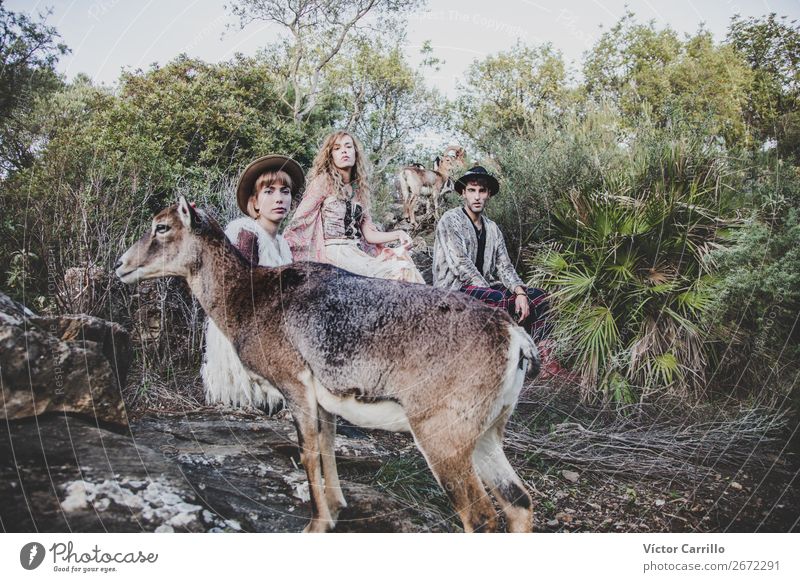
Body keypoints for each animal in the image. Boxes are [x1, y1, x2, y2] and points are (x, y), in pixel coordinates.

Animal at [115, 197, 540, 532]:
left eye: (162, 226)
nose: (121, 265)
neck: (251, 299)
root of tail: (514, 339)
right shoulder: (326, 403)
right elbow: (327, 447)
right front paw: (335, 510)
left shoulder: (295, 386)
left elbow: (307, 452)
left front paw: (316, 524)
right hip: (486, 436)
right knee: (519, 503)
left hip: (443, 439)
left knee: (482, 517)